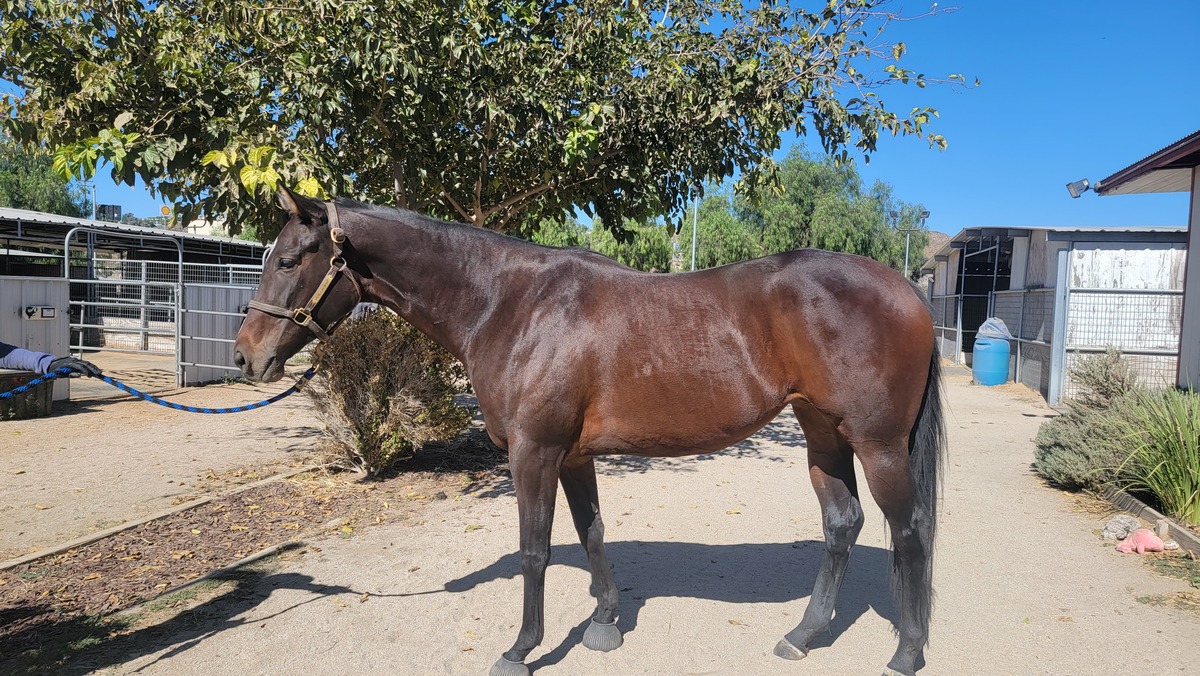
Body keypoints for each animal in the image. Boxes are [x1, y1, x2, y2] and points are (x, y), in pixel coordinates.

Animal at [233, 188, 945, 676]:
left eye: (291, 259)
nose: (245, 358)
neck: (511, 305)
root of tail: (905, 289)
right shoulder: (572, 456)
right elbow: (592, 531)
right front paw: (604, 623)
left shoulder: (534, 453)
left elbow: (535, 550)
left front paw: (521, 650)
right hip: (822, 434)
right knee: (842, 523)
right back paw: (804, 635)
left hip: (878, 444)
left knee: (909, 531)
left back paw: (907, 653)